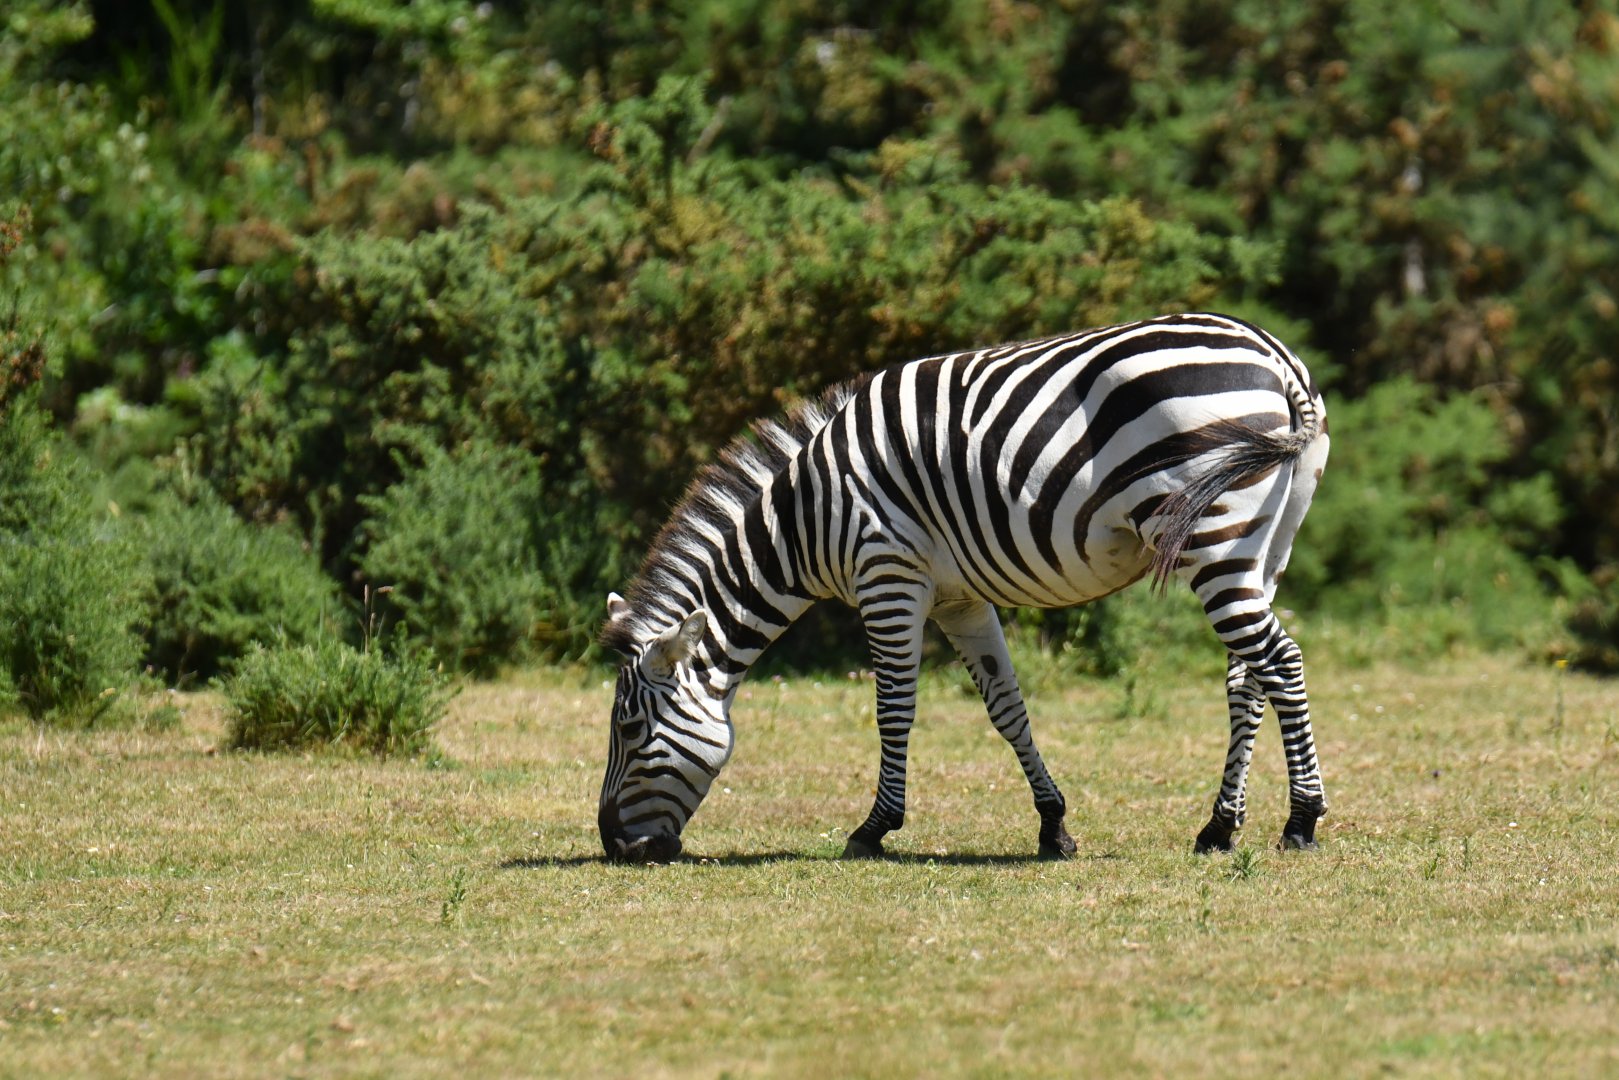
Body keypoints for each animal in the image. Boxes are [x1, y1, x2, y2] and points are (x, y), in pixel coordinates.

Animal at [597, 312, 1330, 863]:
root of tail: (1275, 359)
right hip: (1262, 546)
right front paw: (1052, 826)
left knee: (1283, 660)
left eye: (630, 729)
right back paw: (1219, 827)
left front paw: (873, 830)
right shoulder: (961, 599)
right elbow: (1007, 708)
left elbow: (894, 709)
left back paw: (1301, 820)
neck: (804, 521)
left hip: (1213, 538)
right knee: (1248, 675)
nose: (613, 847)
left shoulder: (887, 576)